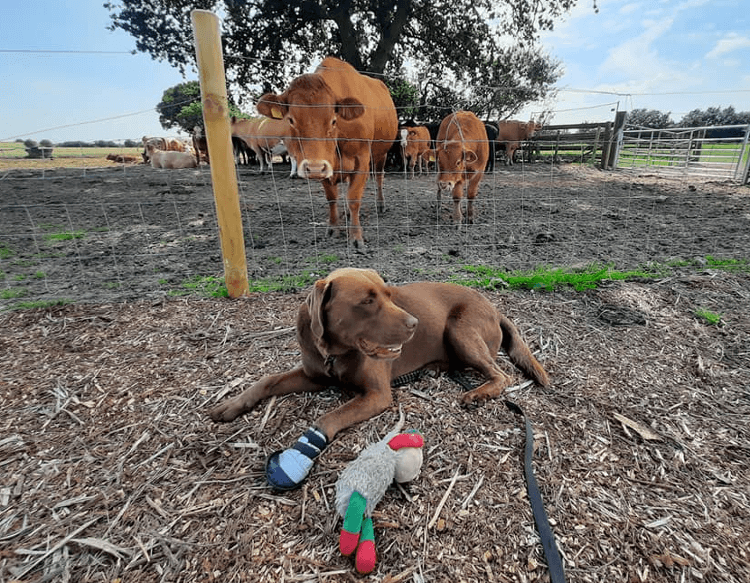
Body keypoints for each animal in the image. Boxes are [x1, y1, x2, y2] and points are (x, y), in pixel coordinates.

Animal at [209, 268, 548, 488]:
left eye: (388, 294)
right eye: (367, 301)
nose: (414, 323)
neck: (335, 352)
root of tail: (496, 308)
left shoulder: (377, 395)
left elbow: (328, 418)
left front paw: (304, 449)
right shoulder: (315, 375)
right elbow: (266, 380)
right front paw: (231, 405)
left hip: (460, 328)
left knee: (500, 374)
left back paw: (476, 394)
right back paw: (434, 368)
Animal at [258, 58, 400, 250]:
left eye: (333, 120)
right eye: (291, 120)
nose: (313, 168)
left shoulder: (361, 161)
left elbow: (354, 198)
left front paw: (356, 237)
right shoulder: (325, 165)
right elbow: (332, 198)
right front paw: (333, 229)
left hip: (381, 154)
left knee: (378, 177)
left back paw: (380, 204)